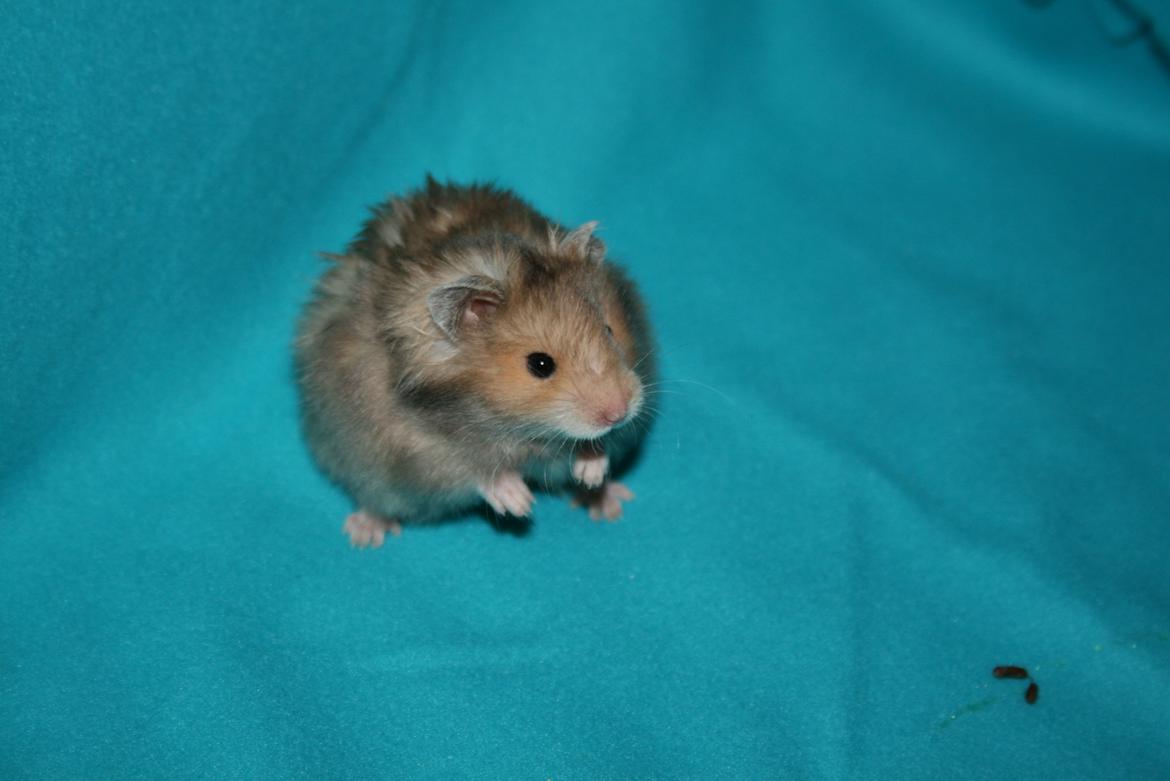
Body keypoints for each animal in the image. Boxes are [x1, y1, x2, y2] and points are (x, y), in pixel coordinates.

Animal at [294, 177, 655, 547]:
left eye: (609, 330)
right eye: (540, 364)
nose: (619, 413)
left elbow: (598, 446)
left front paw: (591, 472)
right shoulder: (417, 449)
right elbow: (473, 469)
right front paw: (520, 502)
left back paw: (607, 502)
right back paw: (364, 534)